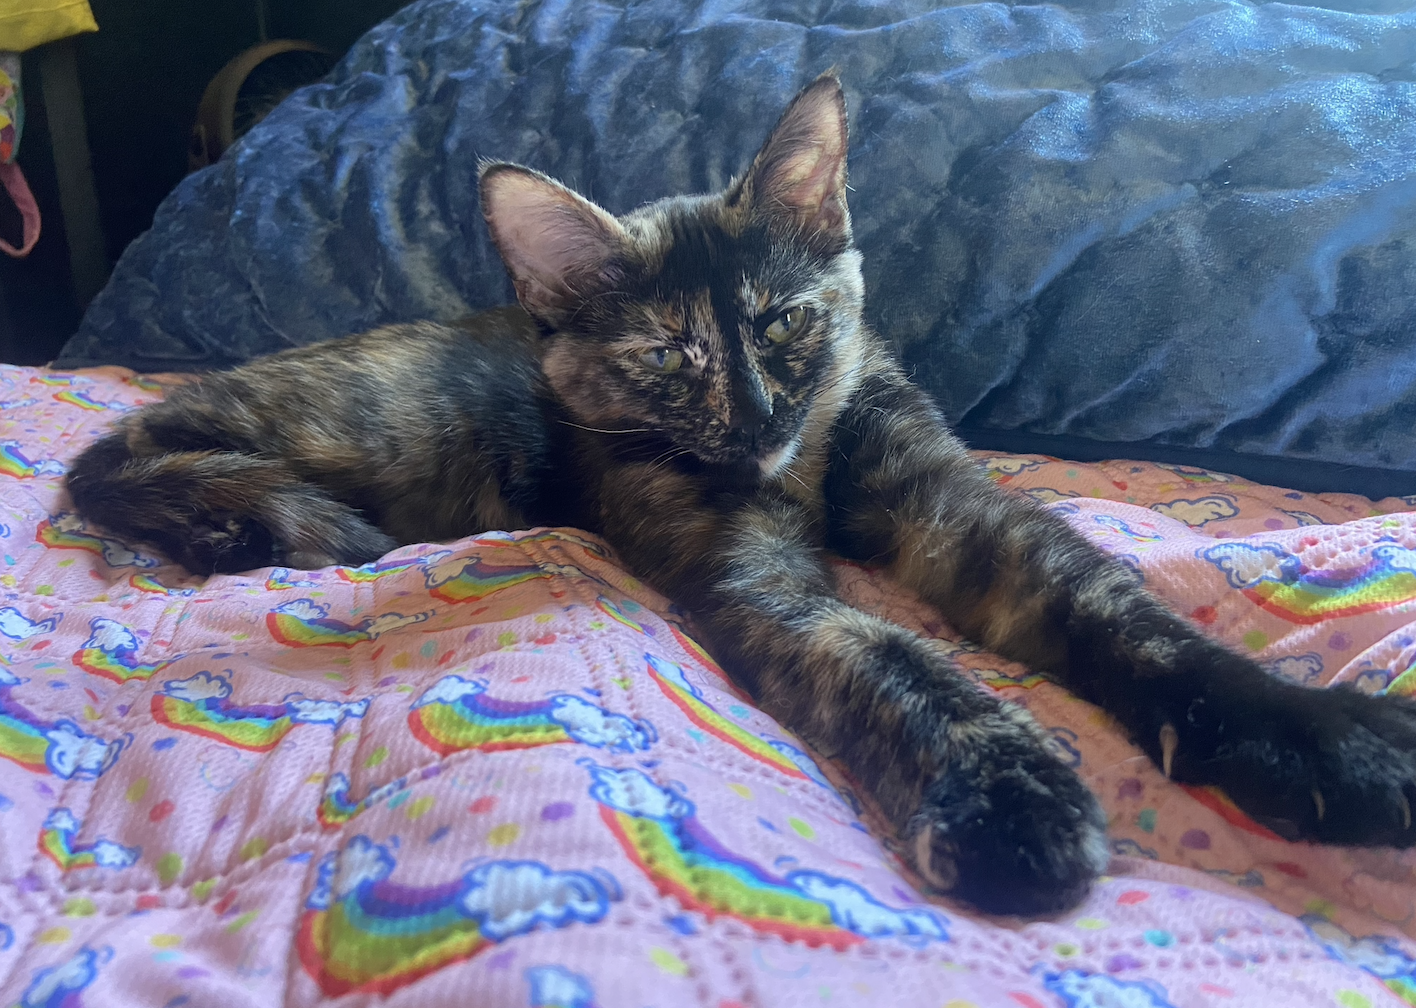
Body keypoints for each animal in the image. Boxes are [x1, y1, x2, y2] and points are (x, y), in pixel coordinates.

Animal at [66, 73, 1416, 916]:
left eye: (781, 322)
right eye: (670, 357)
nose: (759, 418)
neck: (804, 472)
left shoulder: (953, 506)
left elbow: (1118, 609)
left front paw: (1318, 738)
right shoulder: (750, 574)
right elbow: (889, 657)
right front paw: (1009, 799)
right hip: (373, 422)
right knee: (107, 453)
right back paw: (272, 518)